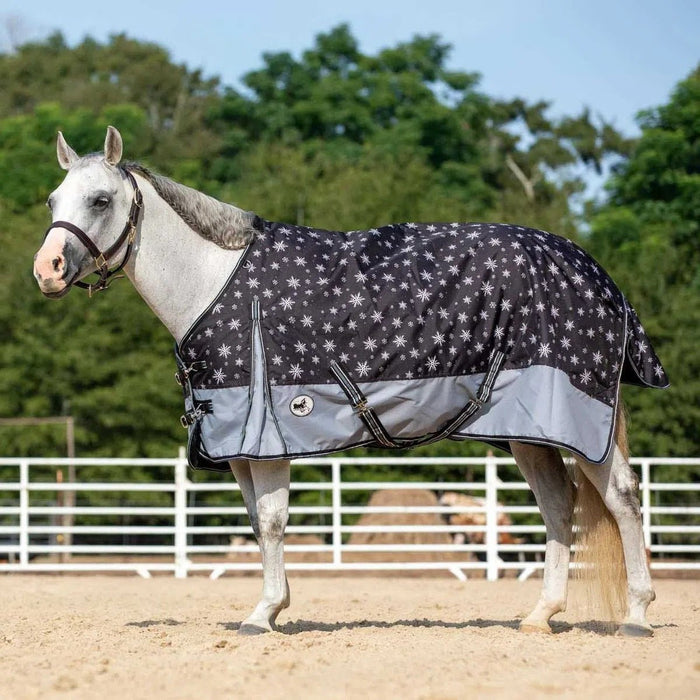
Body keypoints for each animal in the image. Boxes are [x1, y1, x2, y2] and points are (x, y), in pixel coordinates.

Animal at [33, 126, 668, 637]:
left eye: (100, 199)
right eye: (53, 199)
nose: (47, 270)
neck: (217, 281)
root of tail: (593, 273)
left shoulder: (266, 435)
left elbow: (271, 521)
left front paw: (264, 614)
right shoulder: (235, 440)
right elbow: (257, 521)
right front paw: (273, 606)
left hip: (581, 423)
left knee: (621, 498)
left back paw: (637, 614)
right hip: (530, 431)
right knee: (559, 506)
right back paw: (541, 615)